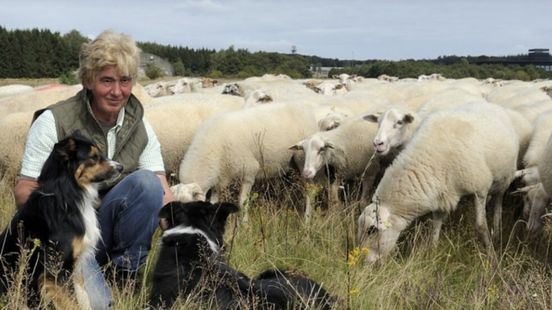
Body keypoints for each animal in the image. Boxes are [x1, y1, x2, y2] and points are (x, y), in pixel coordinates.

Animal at [0, 132, 122, 308]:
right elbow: (73, 303)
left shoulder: (76, 266)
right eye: (93, 157)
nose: (121, 167)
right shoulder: (56, 270)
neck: (70, 192)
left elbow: (83, 298)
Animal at [172, 102, 320, 216]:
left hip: (303, 160)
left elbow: (242, 202)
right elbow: (214, 203)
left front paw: (244, 226)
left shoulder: (249, 171)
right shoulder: (220, 179)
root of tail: (305, 110)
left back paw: (307, 219)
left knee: (310, 190)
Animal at [356, 103, 520, 262]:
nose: (364, 262)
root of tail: (491, 105)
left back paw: (497, 229)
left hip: (505, 177)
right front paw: (432, 251)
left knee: (499, 199)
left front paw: (492, 257)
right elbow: (435, 226)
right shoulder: (442, 194)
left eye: (372, 230)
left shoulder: (479, 189)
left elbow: (481, 227)